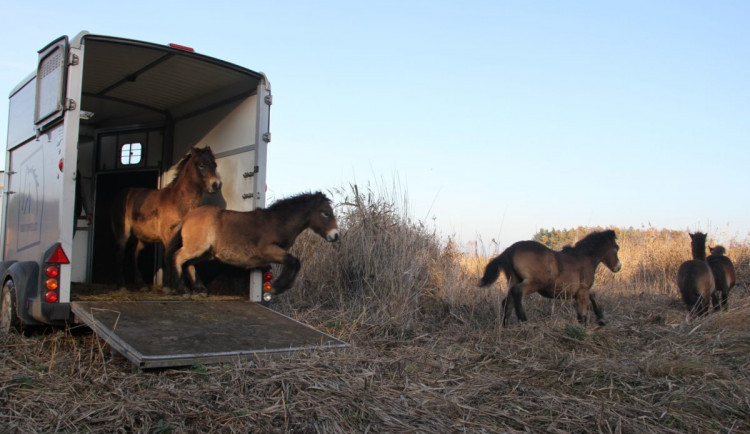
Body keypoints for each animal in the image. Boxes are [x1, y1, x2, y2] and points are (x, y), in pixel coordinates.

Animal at [111, 147, 223, 288]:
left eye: (215, 165)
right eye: (201, 165)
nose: (216, 185)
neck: (177, 202)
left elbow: (186, 258)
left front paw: (198, 287)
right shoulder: (168, 235)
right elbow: (171, 257)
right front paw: (176, 286)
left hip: (144, 238)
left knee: (134, 253)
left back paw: (141, 283)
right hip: (123, 232)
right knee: (120, 253)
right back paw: (121, 284)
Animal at [169, 192, 340, 296]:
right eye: (326, 213)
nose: (336, 235)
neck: (277, 222)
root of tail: (188, 216)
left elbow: (294, 263)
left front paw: (279, 287)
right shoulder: (267, 250)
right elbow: (294, 261)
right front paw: (276, 287)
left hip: (206, 253)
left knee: (189, 264)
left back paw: (200, 289)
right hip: (197, 248)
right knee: (178, 257)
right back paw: (182, 289)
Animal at [478, 231, 624, 326]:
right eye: (616, 248)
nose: (618, 267)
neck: (585, 257)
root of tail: (510, 250)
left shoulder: (579, 292)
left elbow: (592, 297)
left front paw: (601, 318)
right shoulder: (582, 291)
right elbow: (583, 312)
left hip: (513, 279)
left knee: (507, 302)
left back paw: (504, 324)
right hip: (535, 282)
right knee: (517, 292)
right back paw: (524, 320)